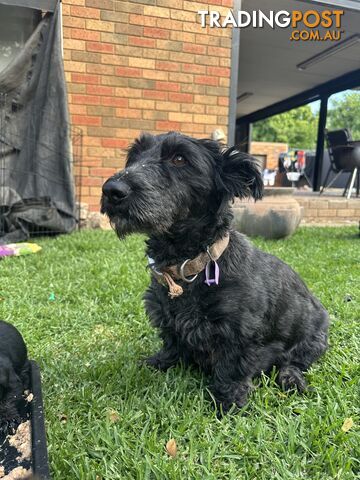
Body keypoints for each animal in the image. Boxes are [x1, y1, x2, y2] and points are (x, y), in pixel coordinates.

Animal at [100, 131, 330, 412]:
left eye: (179, 159)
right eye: (134, 156)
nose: (112, 190)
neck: (188, 267)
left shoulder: (239, 333)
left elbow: (232, 368)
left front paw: (227, 400)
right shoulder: (168, 321)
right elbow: (172, 344)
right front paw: (161, 362)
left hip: (313, 340)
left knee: (295, 362)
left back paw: (291, 378)